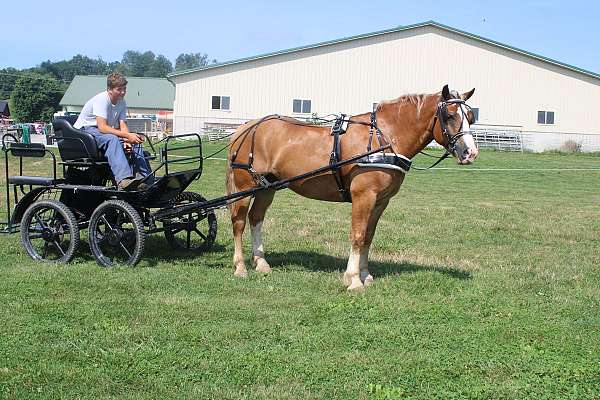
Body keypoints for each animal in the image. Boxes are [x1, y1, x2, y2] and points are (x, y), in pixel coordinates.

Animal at [225, 84, 478, 290]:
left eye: (470, 116)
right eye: (449, 115)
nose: (470, 153)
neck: (383, 138)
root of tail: (247, 127)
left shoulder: (381, 201)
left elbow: (368, 236)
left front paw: (365, 275)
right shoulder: (363, 196)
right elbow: (357, 235)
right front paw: (354, 280)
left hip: (266, 187)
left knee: (256, 219)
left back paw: (261, 263)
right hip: (245, 186)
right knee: (239, 222)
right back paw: (240, 267)